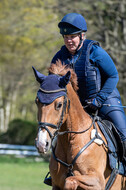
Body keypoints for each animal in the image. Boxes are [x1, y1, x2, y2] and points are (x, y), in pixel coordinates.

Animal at [32, 61, 126, 189]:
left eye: (59, 104)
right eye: (37, 102)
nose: (41, 144)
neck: (71, 139)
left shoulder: (97, 182)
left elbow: (70, 180)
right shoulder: (56, 183)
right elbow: (68, 180)